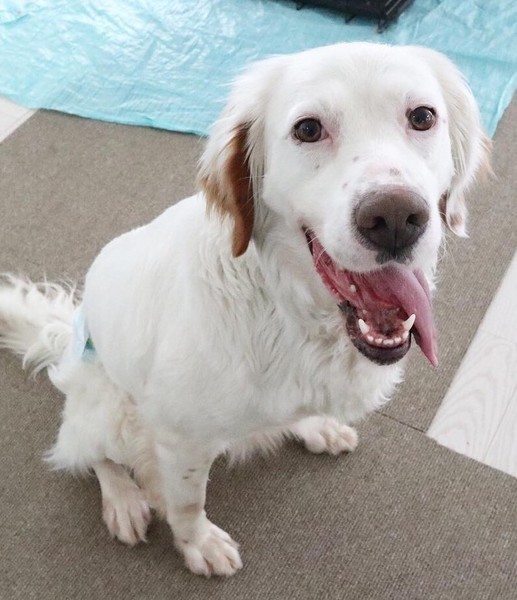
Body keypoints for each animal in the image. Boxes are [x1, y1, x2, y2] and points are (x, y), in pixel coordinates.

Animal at [0, 42, 490, 576]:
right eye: (308, 129)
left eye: (422, 117)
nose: (397, 218)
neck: (293, 313)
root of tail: (66, 338)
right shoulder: (181, 439)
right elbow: (187, 503)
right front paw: (198, 543)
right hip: (108, 408)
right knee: (88, 451)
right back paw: (123, 499)